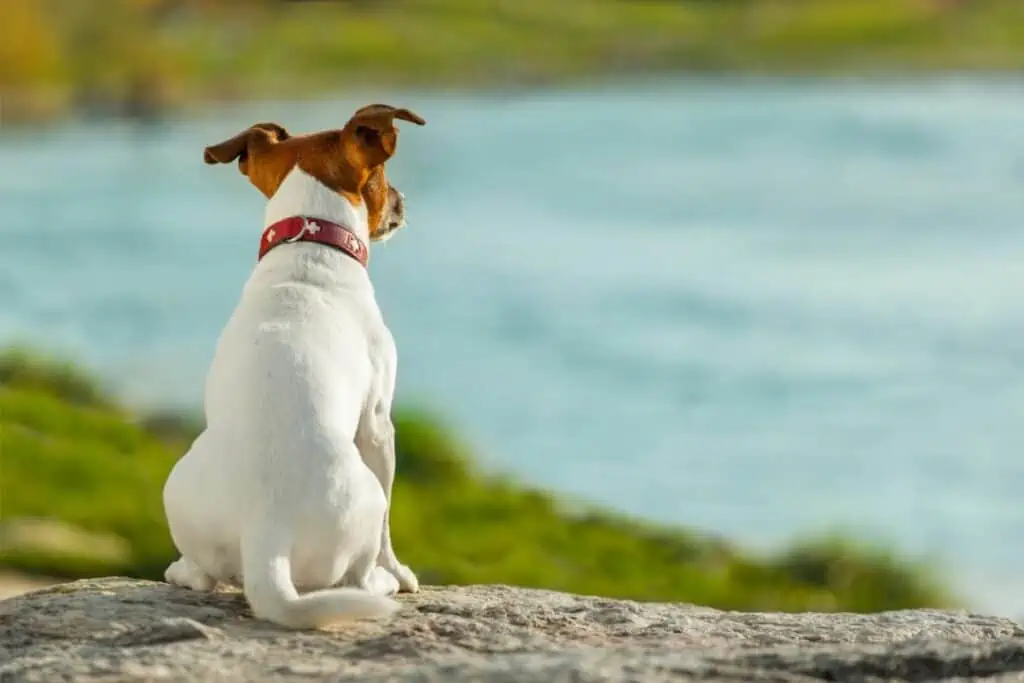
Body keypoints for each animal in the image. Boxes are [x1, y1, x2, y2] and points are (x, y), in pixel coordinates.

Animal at [161, 102, 425, 630]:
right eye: (383, 177)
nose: (403, 201)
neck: (309, 245)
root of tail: (266, 534)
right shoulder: (378, 424)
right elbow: (390, 530)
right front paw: (400, 572)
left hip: (176, 489)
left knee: (202, 574)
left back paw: (180, 570)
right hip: (365, 495)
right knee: (358, 575)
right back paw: (381, 581)